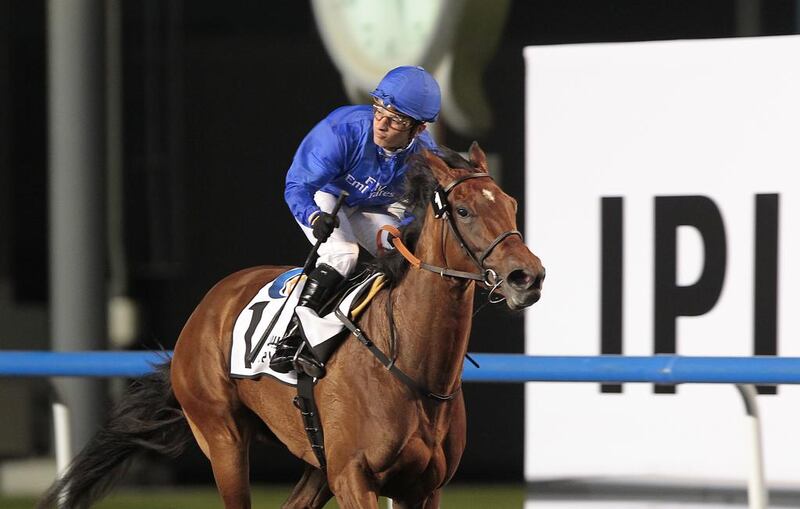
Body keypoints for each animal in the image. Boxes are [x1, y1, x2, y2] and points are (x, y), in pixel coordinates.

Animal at [40, 143, 548, 508]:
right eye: (463, 211)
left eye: (511, 204)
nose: (528, 276)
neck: (410, 367)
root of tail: (208, 307)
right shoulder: (353, 477)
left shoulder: (422, 487)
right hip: (222, 438)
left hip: (314, 462)